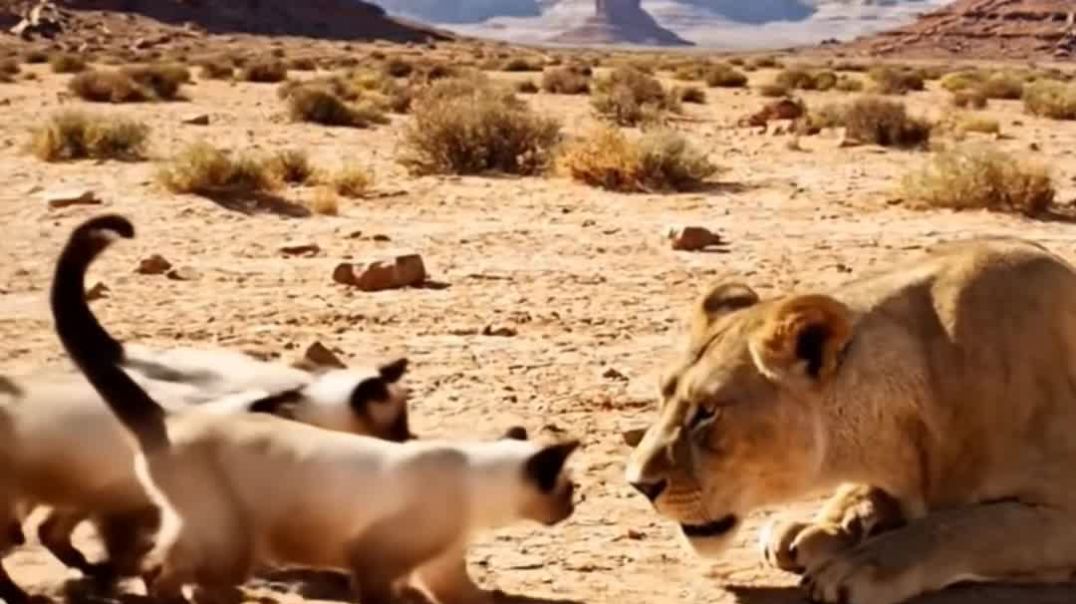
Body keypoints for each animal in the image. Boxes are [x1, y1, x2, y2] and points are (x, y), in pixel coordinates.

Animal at [625, 237, 1076, 604]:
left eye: (708, 411)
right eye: (663, 395)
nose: (639, 485)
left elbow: (960, 525)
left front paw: (857, 566)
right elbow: (866, 495)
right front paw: (815, 529)